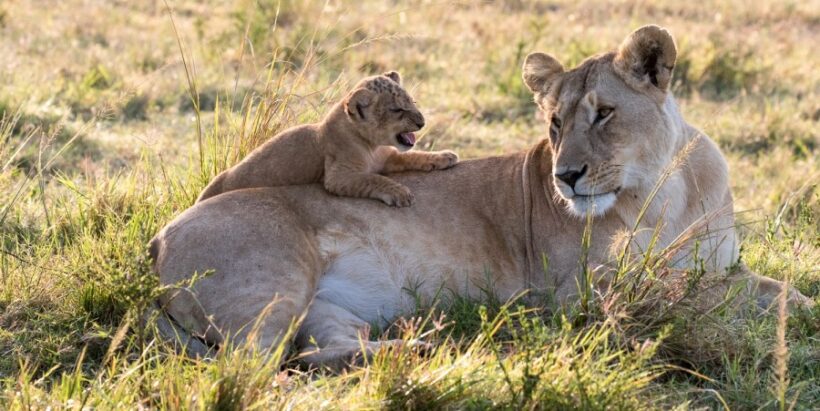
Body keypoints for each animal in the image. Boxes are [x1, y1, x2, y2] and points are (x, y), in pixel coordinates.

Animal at [196, 71, 459, 206]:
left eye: (411, 102)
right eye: (396, 110)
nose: (422, 123)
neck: (373, 146)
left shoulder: (388, 158)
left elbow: (413, 156)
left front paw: (444, 157)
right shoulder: (337, 176)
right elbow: (373, 179)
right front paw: (400, 193)